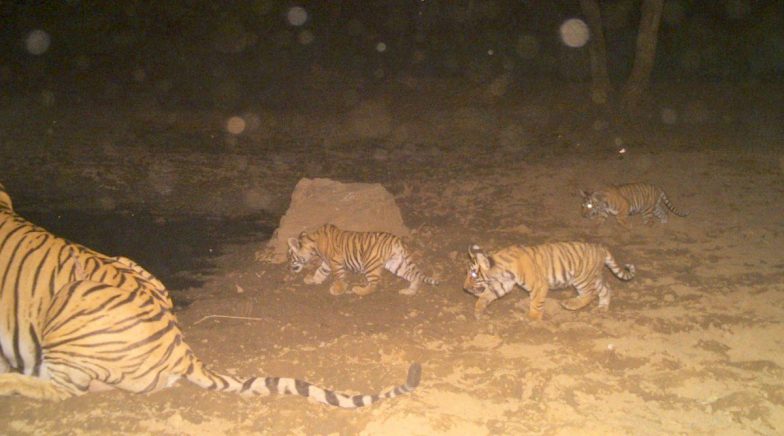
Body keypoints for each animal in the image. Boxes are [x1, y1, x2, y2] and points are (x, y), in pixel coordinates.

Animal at [287, 224, 439, 296]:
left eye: (290, 256)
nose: (289, 268)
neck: (313, 245)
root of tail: (396, 240)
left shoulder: (335, 262)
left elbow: (338, 276)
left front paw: (337, 289)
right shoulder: (327, 263)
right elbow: (320, 272)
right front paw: (312, 280)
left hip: (370, 264)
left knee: (373, 285)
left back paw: (358, 290)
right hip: (396, 264)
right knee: (413, 276)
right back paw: (410, 291)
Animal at [464, 242, 635, 321]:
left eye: (473, 274)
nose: (464, 288)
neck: (502, 269)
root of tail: (600, 247)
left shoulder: (539, 285)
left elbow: (536, 302)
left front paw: (532, 317)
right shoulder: (503, 283)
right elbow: (486, 295)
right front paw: (478, 311)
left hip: (582, 278)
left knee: (590, 294)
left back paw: (569, 304)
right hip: (593, 277)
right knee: (605, 288)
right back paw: (602, 308)